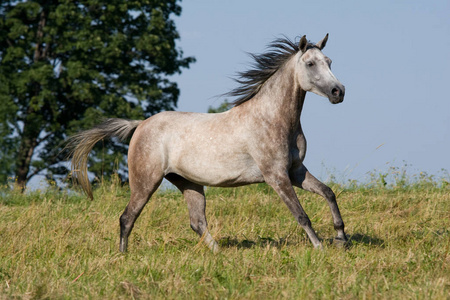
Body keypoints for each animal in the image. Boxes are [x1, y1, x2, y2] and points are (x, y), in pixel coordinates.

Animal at [67, 34, 348, 252]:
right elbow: (301, 214)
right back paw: (123, 256)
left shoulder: (295, 171)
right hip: (145, 182)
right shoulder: (276, 176)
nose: (339, 92)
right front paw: (320, 248)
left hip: (188, 183)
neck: (272, 118)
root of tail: (140, 125)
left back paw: (220, 254)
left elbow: (328, 193)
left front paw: (341, 239)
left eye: (329, 62)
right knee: (127, 218)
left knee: (197, 222)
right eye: (310, 63)